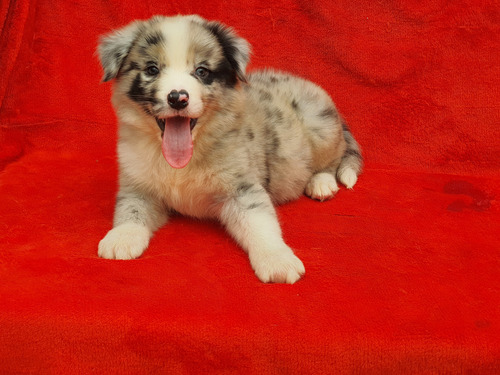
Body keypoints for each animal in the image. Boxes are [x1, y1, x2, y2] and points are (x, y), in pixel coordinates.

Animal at [96, 15, 364, 284]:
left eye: (202, 71)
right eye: (152, 69)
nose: (178, 98)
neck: (182, 160)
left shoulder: (241, 188)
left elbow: (260, 223)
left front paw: (277, 259)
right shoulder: (138, 185)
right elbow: (131, 209)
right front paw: (122, 237)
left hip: (321, 126)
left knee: (332, 159)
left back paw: (321, 183)